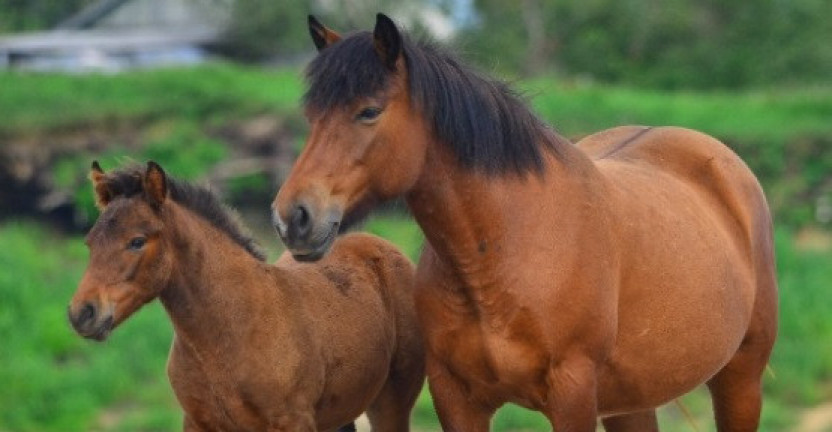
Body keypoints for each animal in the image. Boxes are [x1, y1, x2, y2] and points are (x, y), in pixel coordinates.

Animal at [274, 13, 780, 432]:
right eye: (311, 115)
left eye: (369, 111)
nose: (292, 217)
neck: (503, 247)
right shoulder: (457, 399)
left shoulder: (572, 395)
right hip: (632, 401)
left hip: (741, 378)